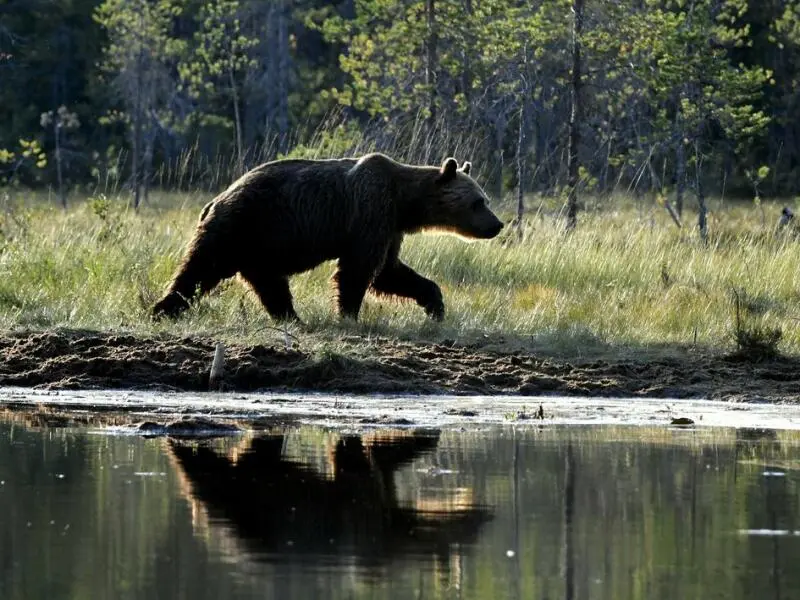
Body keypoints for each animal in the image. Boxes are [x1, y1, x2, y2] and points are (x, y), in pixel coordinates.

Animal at [153, 155, 504, 324]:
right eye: (478, 202)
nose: (497, 225)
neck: (405, 203)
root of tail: (214, 200)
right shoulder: (370, 211)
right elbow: (360, 270)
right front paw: (348, 313)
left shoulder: (390, 227)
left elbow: (390, 271)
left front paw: (435, 305)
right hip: (241, 226)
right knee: (200, 268)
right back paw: (164, 308)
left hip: (259, 247)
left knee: (270, 284)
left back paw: (292, 317)